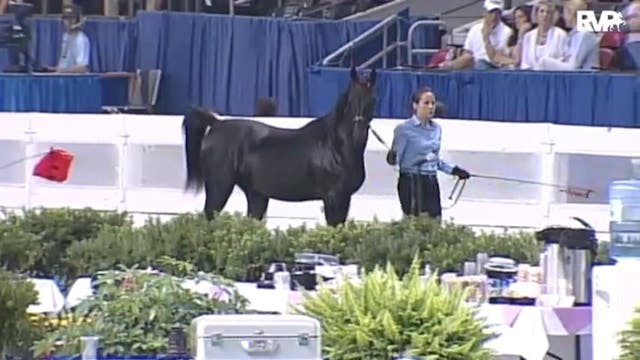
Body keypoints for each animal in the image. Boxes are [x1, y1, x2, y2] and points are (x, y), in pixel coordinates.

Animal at [181, 66, 376, 226]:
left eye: (372, 101)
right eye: (351, 101)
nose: (358, 135)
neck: (335, 146)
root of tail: (216, 123)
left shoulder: (344, 198)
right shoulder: (333, 198)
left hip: (256, 195)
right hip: (219, 188)